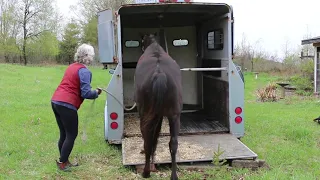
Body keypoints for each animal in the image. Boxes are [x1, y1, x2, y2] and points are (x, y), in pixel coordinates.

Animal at [133, 33, 182, 179]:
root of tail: (159, 73)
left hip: (145, 115)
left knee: (147, 140)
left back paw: (146, 172)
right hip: (174, 116)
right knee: (173, 143)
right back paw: (173, 175)